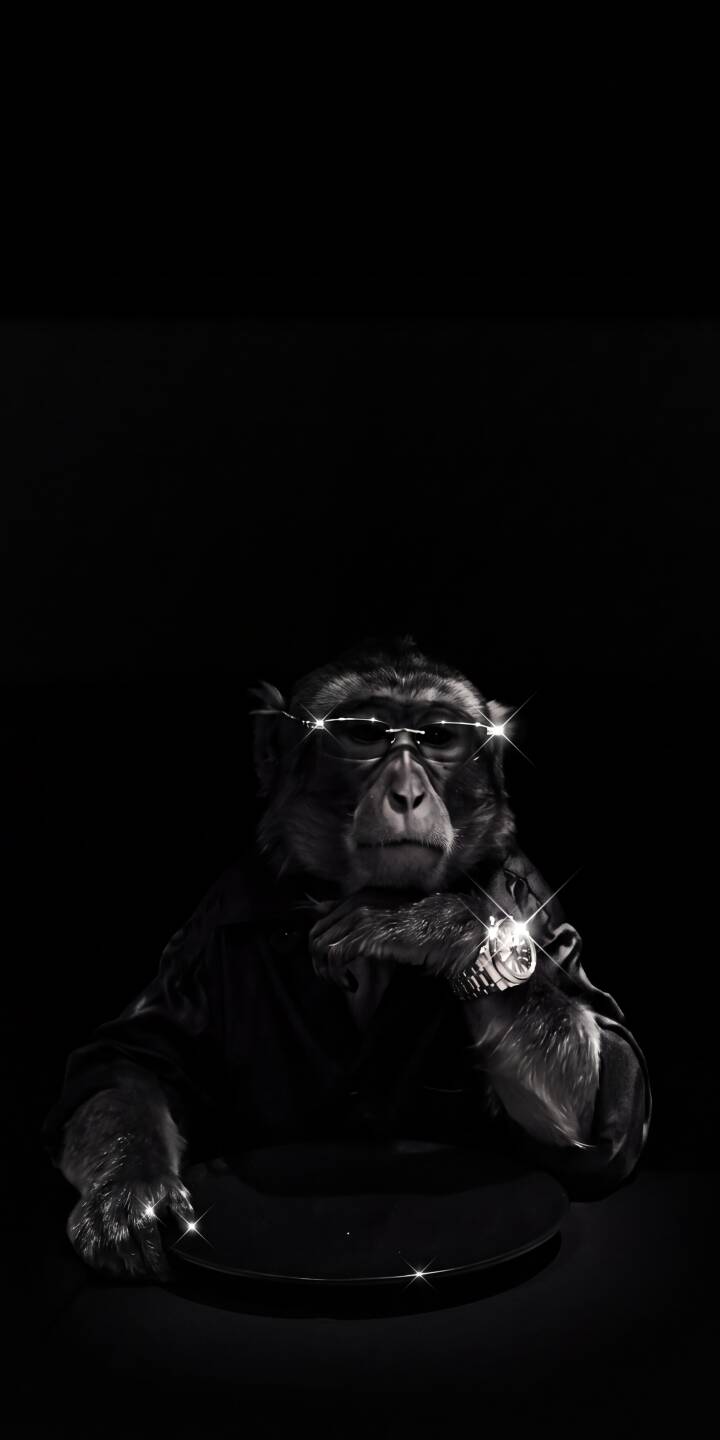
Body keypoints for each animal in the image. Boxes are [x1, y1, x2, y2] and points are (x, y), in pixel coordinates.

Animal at [44, 636, 651, 1280]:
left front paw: (424, 923)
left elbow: (612, 1089)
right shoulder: (212, 920)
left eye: (439, 737)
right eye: (364, 734)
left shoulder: (529, 891)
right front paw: (128, 1188)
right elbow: (124, 1060)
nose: (407, 791)